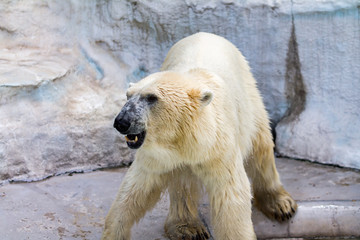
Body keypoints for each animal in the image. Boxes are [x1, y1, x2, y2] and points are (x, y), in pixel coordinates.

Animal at [102, 32, 296, 240]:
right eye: (128, 95)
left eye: (152, 97)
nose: (121, 121)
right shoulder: (158, 155)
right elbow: (136, 187)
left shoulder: (218, 146)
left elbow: (229, 193)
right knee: (183, 180)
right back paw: (187, 228)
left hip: (249, 97)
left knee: (261, 147)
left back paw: (280, 204)